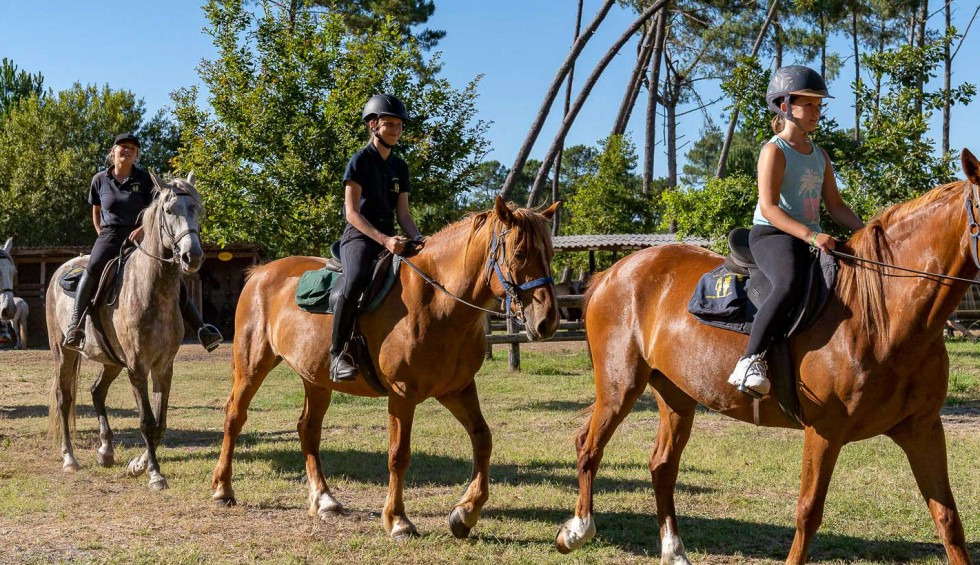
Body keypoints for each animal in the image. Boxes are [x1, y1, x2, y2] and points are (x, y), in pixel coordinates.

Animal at [47, 173, 204, 490]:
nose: (191, 256)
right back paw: (69, 458)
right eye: (169, 211)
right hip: (64, 354)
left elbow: (160, 422)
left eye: (198, 210)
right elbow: (146, 420)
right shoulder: (137, 366)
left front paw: (138, 465)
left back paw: (106, 451)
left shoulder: (163, 366)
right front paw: (154, 473)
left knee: (97, 391)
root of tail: (61, 270)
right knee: (64, 398)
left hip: (111, 361)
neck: (152, 290)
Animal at [213, 196, 560, 540]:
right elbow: (398, 454)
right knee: (235, 416)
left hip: (317, 379)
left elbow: (483, 438)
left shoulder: (457, 389)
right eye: (519, 253)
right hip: (252, 365)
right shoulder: (402, 395)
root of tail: (261, 272)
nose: (547, 322)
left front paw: (465, 513)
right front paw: (398, 520)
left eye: (550, 253)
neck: (437, 303)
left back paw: (324, 500)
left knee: (308, 428)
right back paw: (223, 490)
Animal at [556, 150, 980, 564]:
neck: (881, 314)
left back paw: (673, 552)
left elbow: (948, 520)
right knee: (588, 446)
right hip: (620, 386)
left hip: (676, 395)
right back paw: (577, 531)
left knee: (662, 466)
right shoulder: (824, 431)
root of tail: (613, 272)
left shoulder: (922, 430)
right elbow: (809, 512)